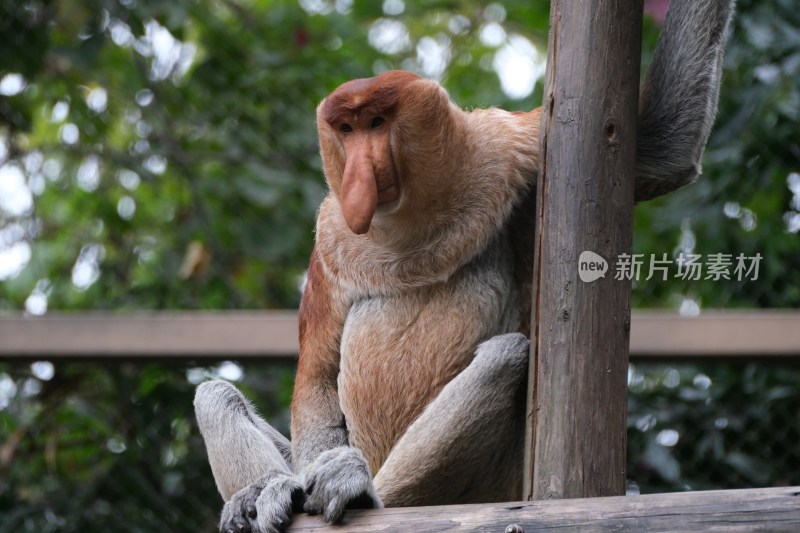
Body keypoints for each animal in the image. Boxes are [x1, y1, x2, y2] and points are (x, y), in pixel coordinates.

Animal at [197, 2, 736, 528]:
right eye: (346, 130)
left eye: (377, 123)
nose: (358, 175)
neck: (411, 226)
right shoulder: (331, 242)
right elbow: (316, 377)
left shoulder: (508, 144)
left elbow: (661, 148)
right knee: (213, 394)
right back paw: (264, 493)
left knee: (507, 356)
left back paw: (368, 495)